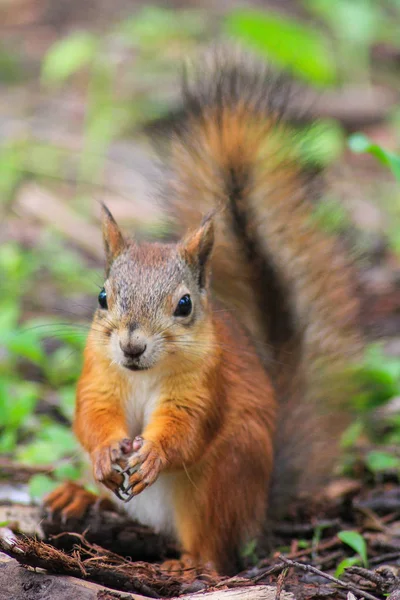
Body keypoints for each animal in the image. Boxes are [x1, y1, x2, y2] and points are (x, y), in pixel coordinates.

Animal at [45, 49, 360, 576]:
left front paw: (154, 453)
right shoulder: (98, 375)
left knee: (215, 548)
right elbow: (91, 415)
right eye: (103, 297)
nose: (132, 345)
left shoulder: (205, 385)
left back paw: (188, 564)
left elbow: (188, 428)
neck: (143, 374)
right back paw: (78, 497)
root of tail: (260, 504)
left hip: (224, 477)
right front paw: (106, 450)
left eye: (185, 304)